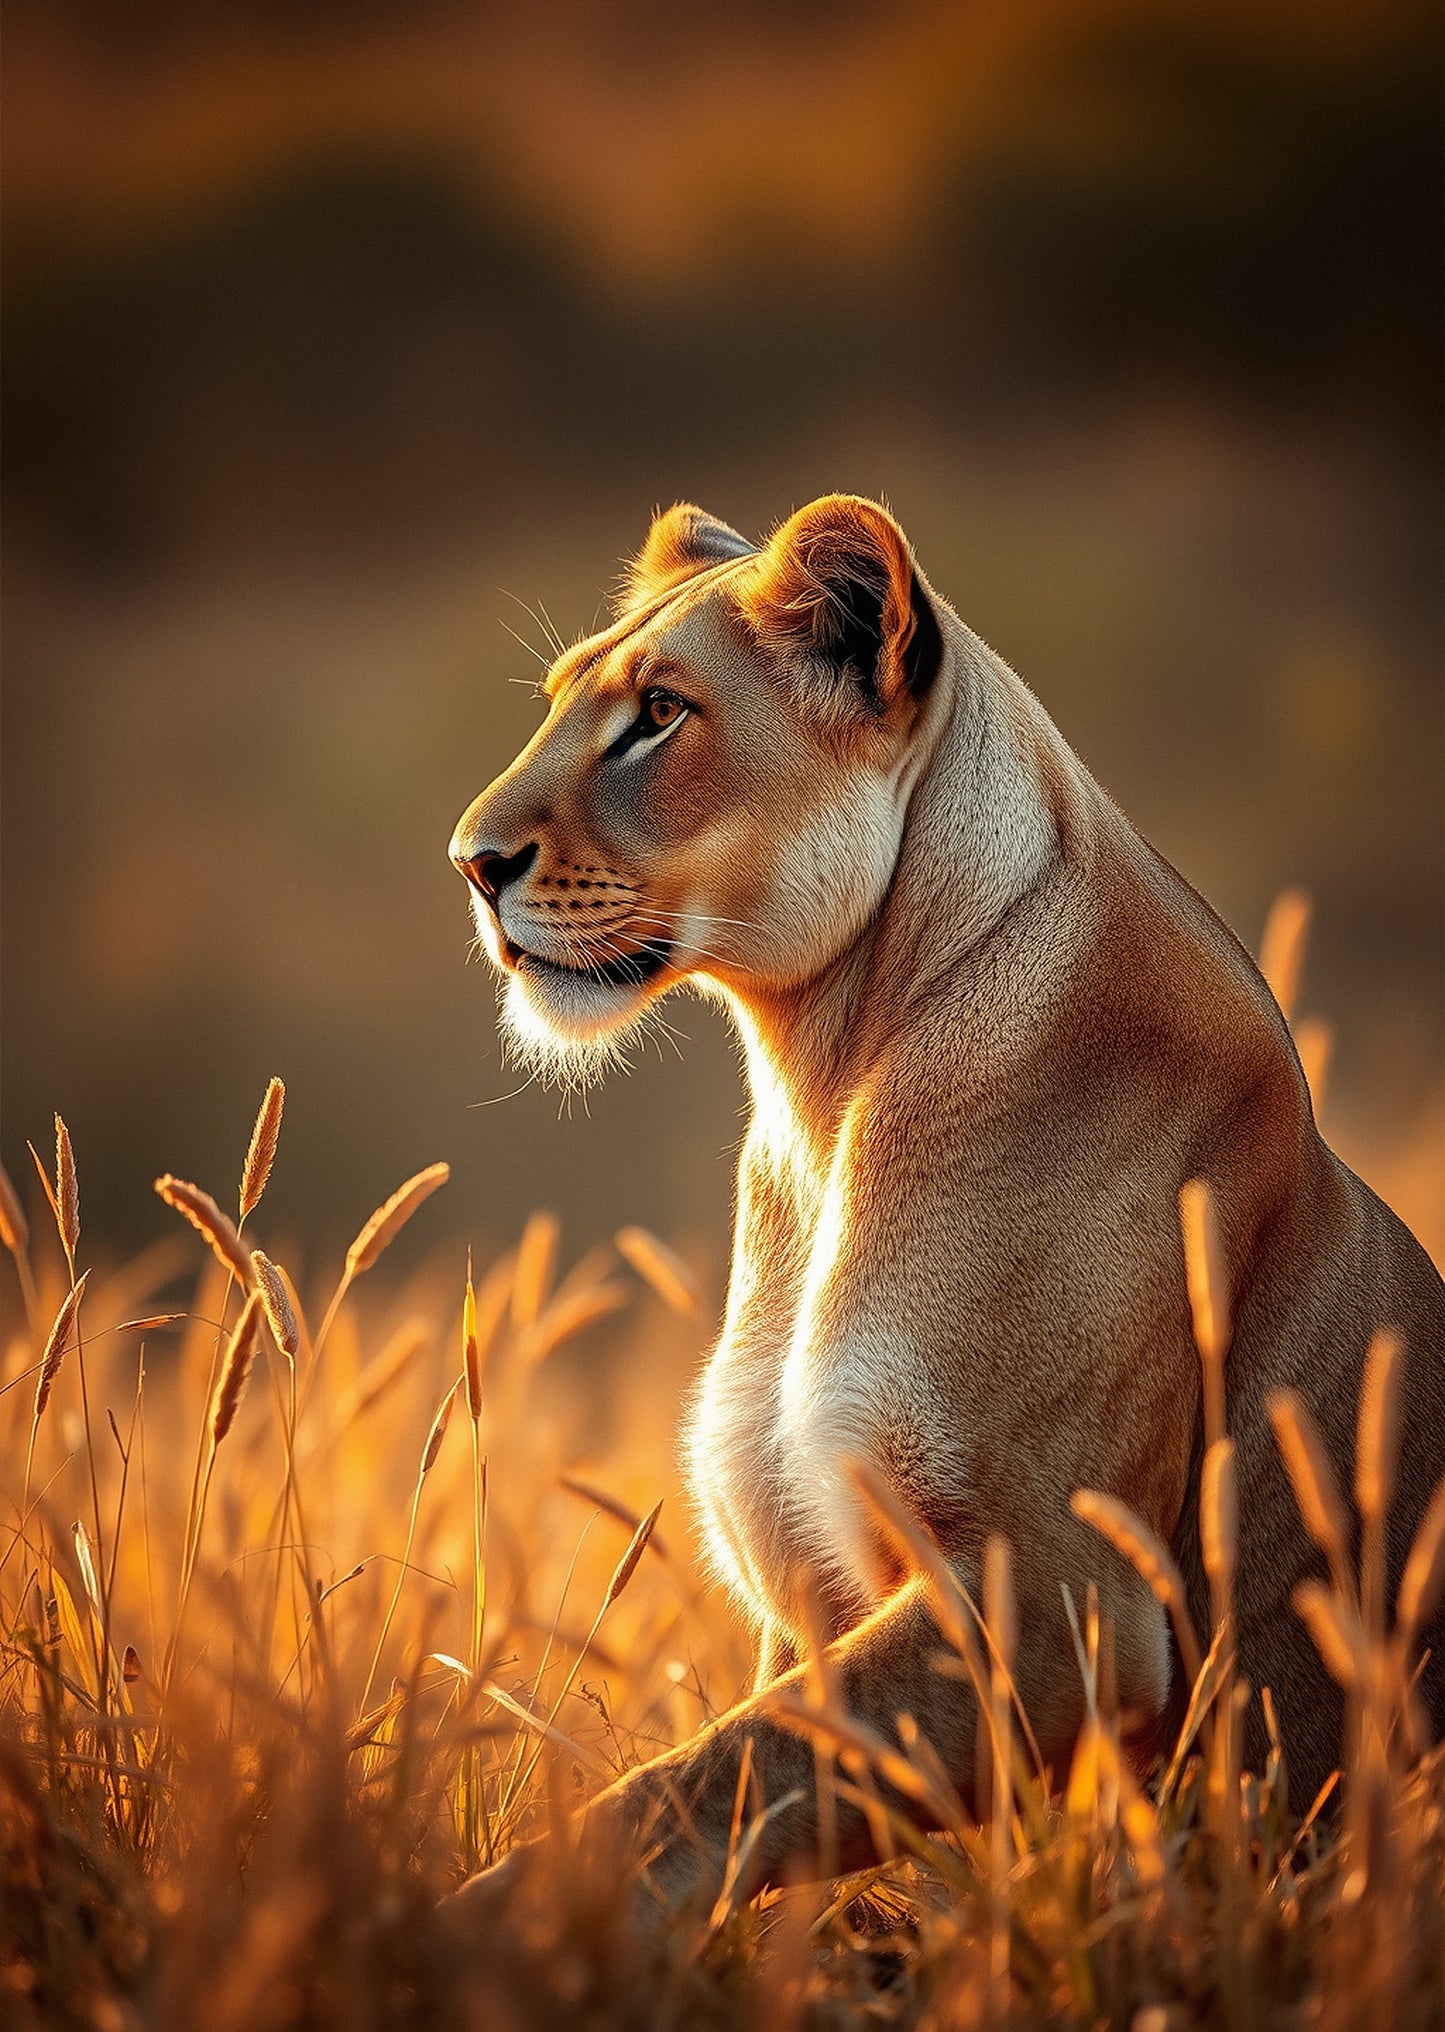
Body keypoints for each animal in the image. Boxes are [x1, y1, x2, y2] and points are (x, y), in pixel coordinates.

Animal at [445, 493, 1445, 1918]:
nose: (470, 864)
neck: (822, 1086)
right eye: (559, 702)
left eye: (659, 713)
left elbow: (703, 1781)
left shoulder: (1062, 1603)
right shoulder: (808, 1597)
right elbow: (747, 1799)